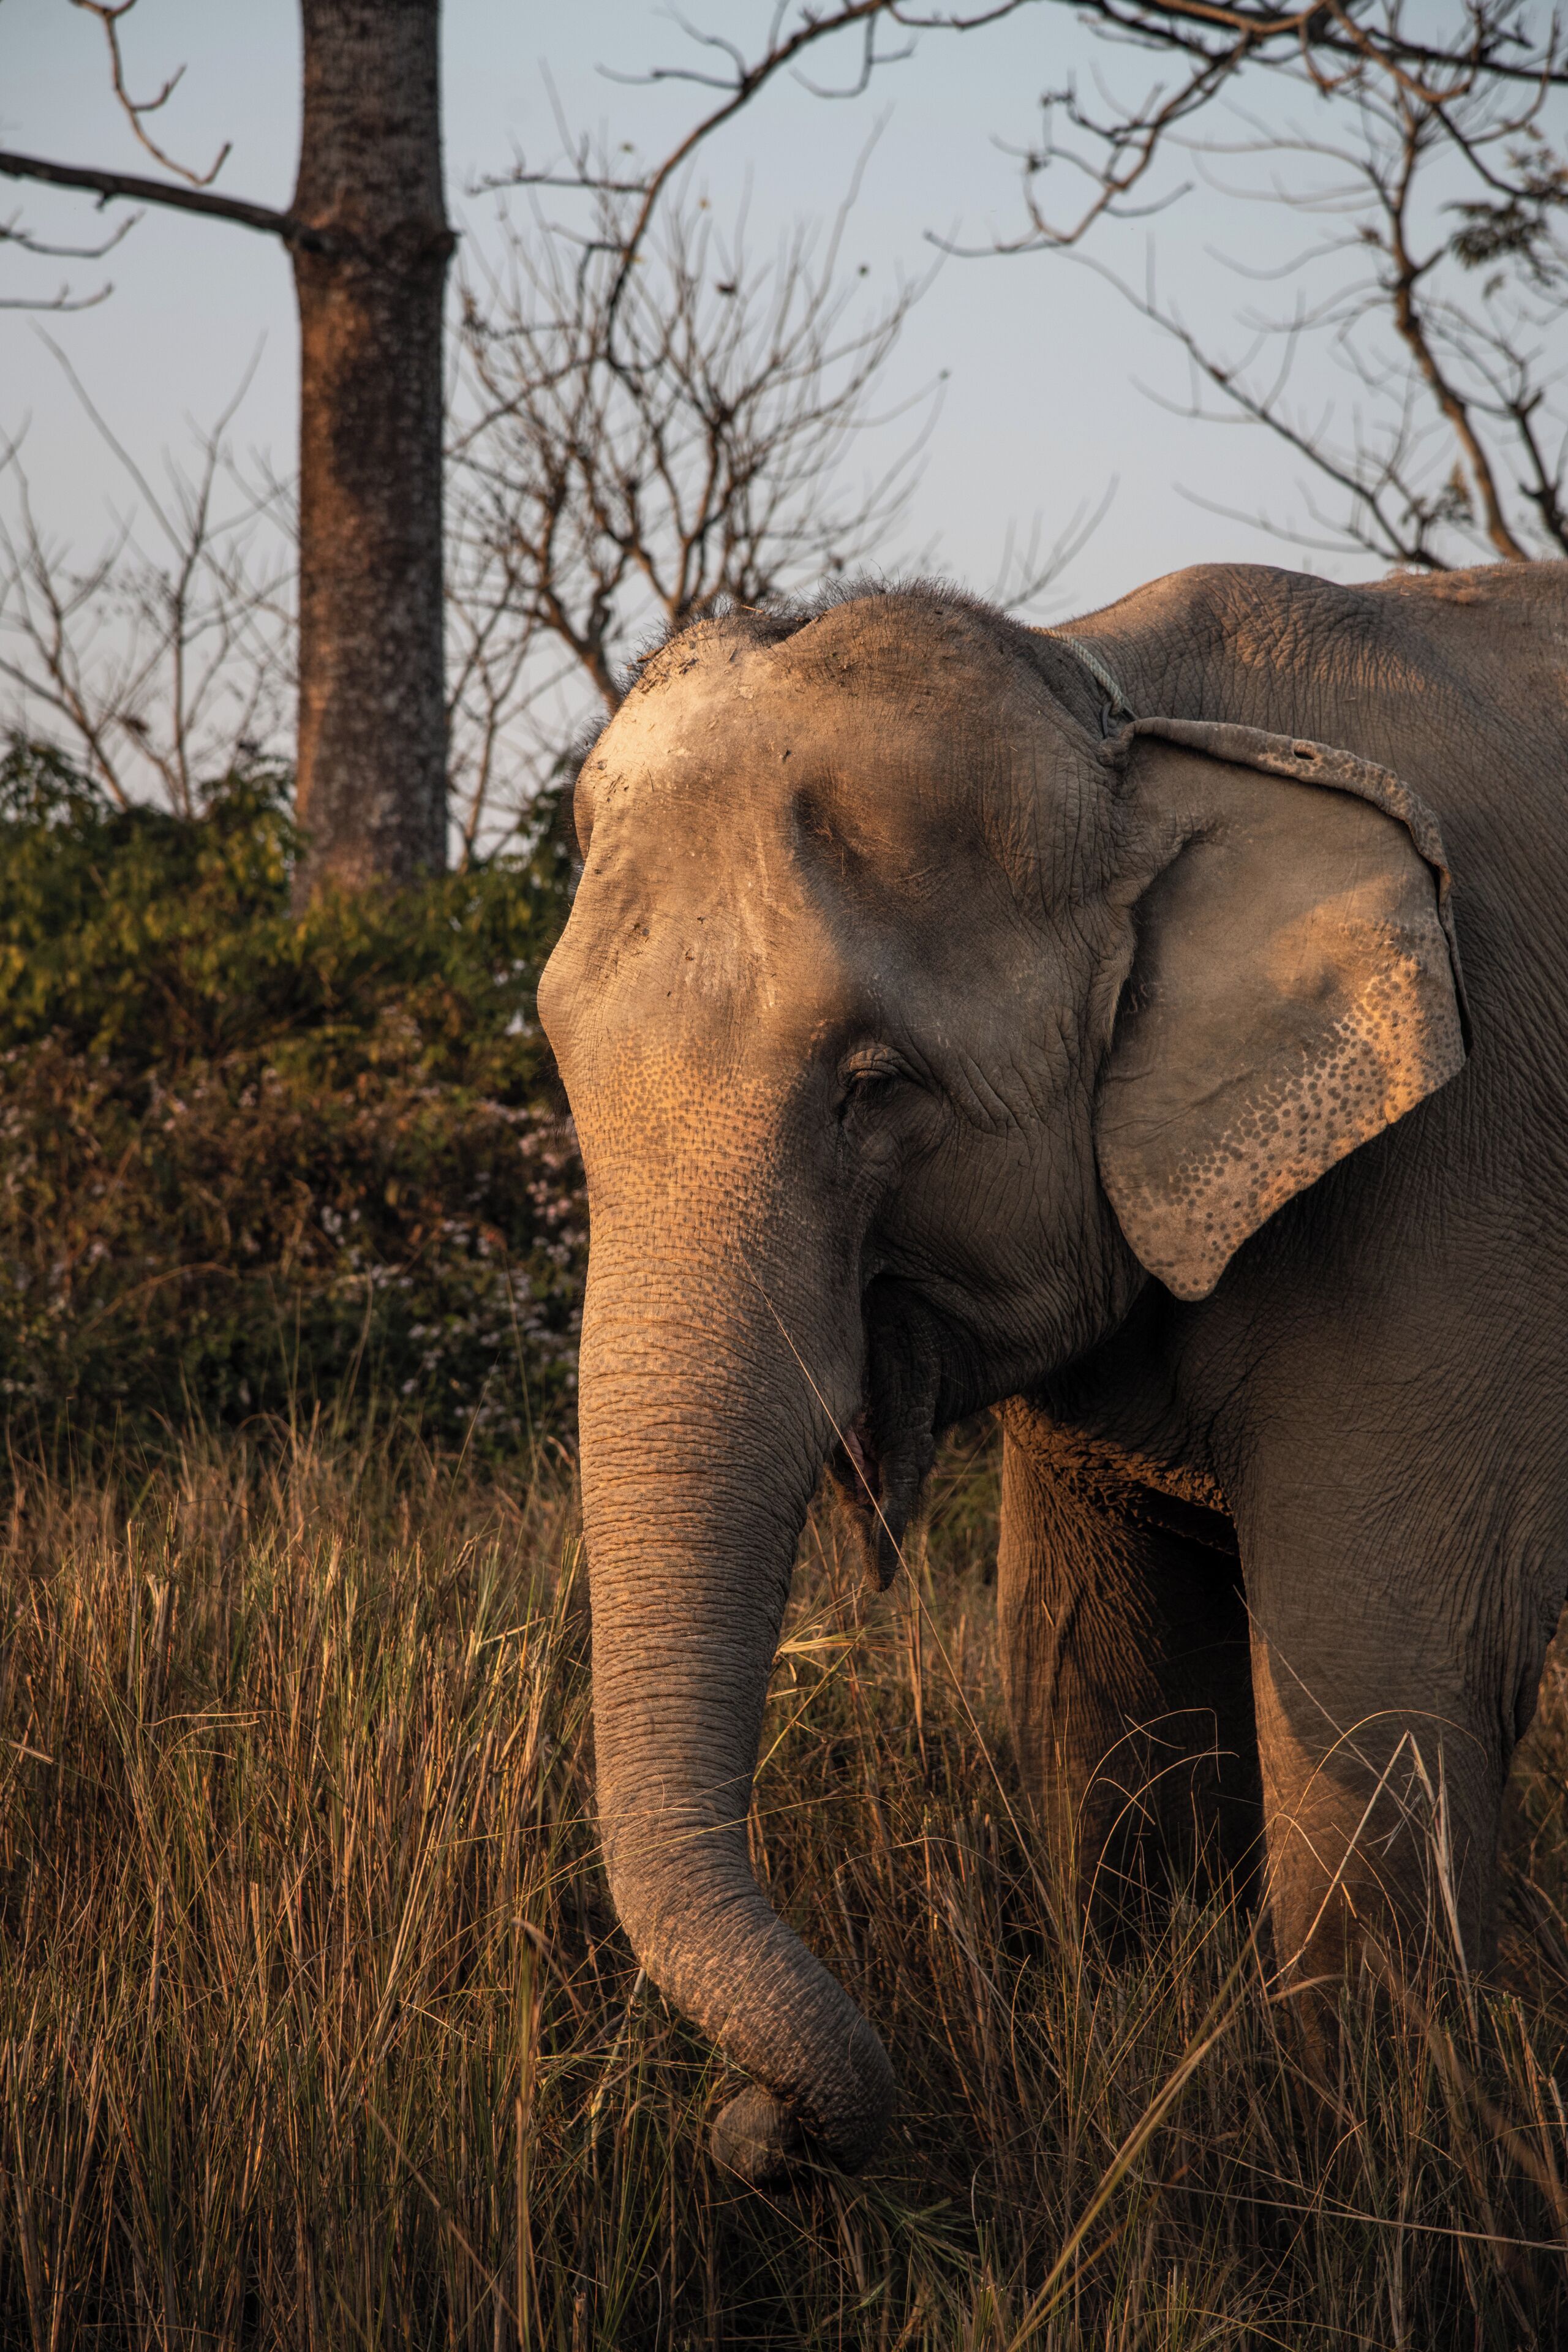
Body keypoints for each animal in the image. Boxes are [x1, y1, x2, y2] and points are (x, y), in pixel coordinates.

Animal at [537, 558, 1568, 2185]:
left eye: (873, 1088)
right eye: (562, 1067)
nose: (745, 2126)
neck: (1114, 705)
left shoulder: (1447, 1178)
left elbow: (1383, 1664)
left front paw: (1368, 2171)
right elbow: (1099, 1672)